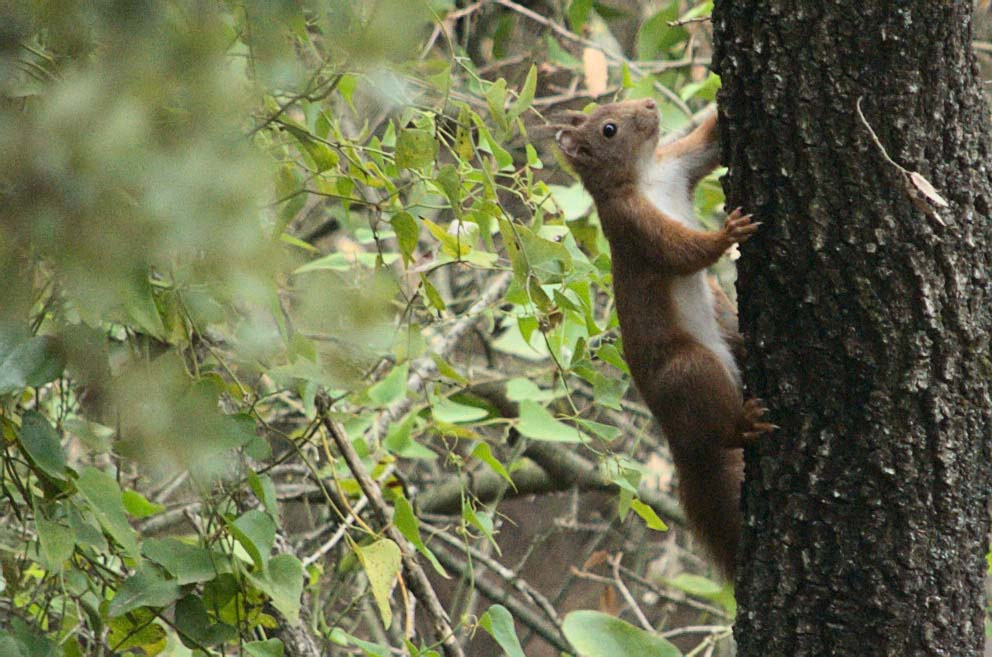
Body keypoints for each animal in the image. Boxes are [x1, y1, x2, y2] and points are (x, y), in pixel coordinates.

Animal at [556, 98, 772, 580]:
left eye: (615, 100)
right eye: (610, 129)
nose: (650, 104)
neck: (647, 175)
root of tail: (678, 441)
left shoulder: (677, 164)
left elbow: (707, 144)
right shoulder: (632, 224)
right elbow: (680, 251)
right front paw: (727, 235)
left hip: (724, 328)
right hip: (688, 368)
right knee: (722, 433)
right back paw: (742, 423)